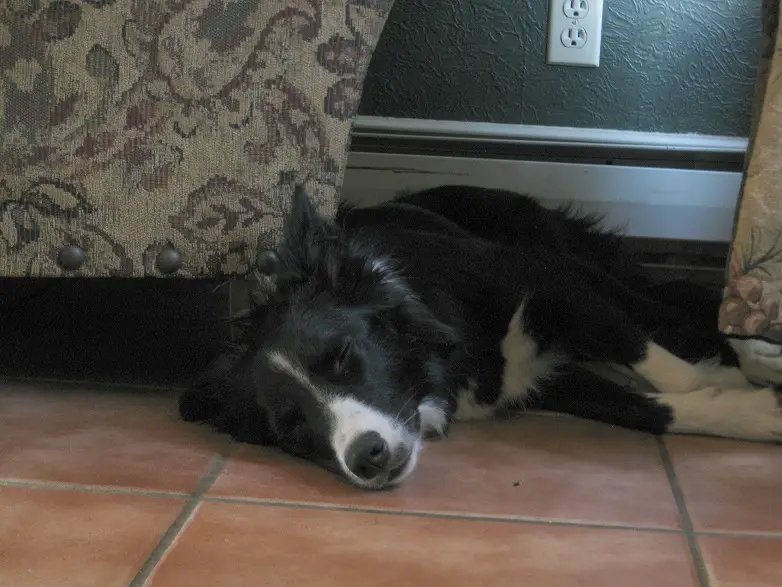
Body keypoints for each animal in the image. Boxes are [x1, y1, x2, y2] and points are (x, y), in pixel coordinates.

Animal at [179, 186, 782, 490]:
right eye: (293, 428)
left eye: (344, 356)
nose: (368, 457)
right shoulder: (548, 381)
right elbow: (647, 410)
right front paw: (749, 413)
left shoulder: (550, 283)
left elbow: (647, 355)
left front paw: (732, 383)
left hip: (572, 255)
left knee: (666, 305)